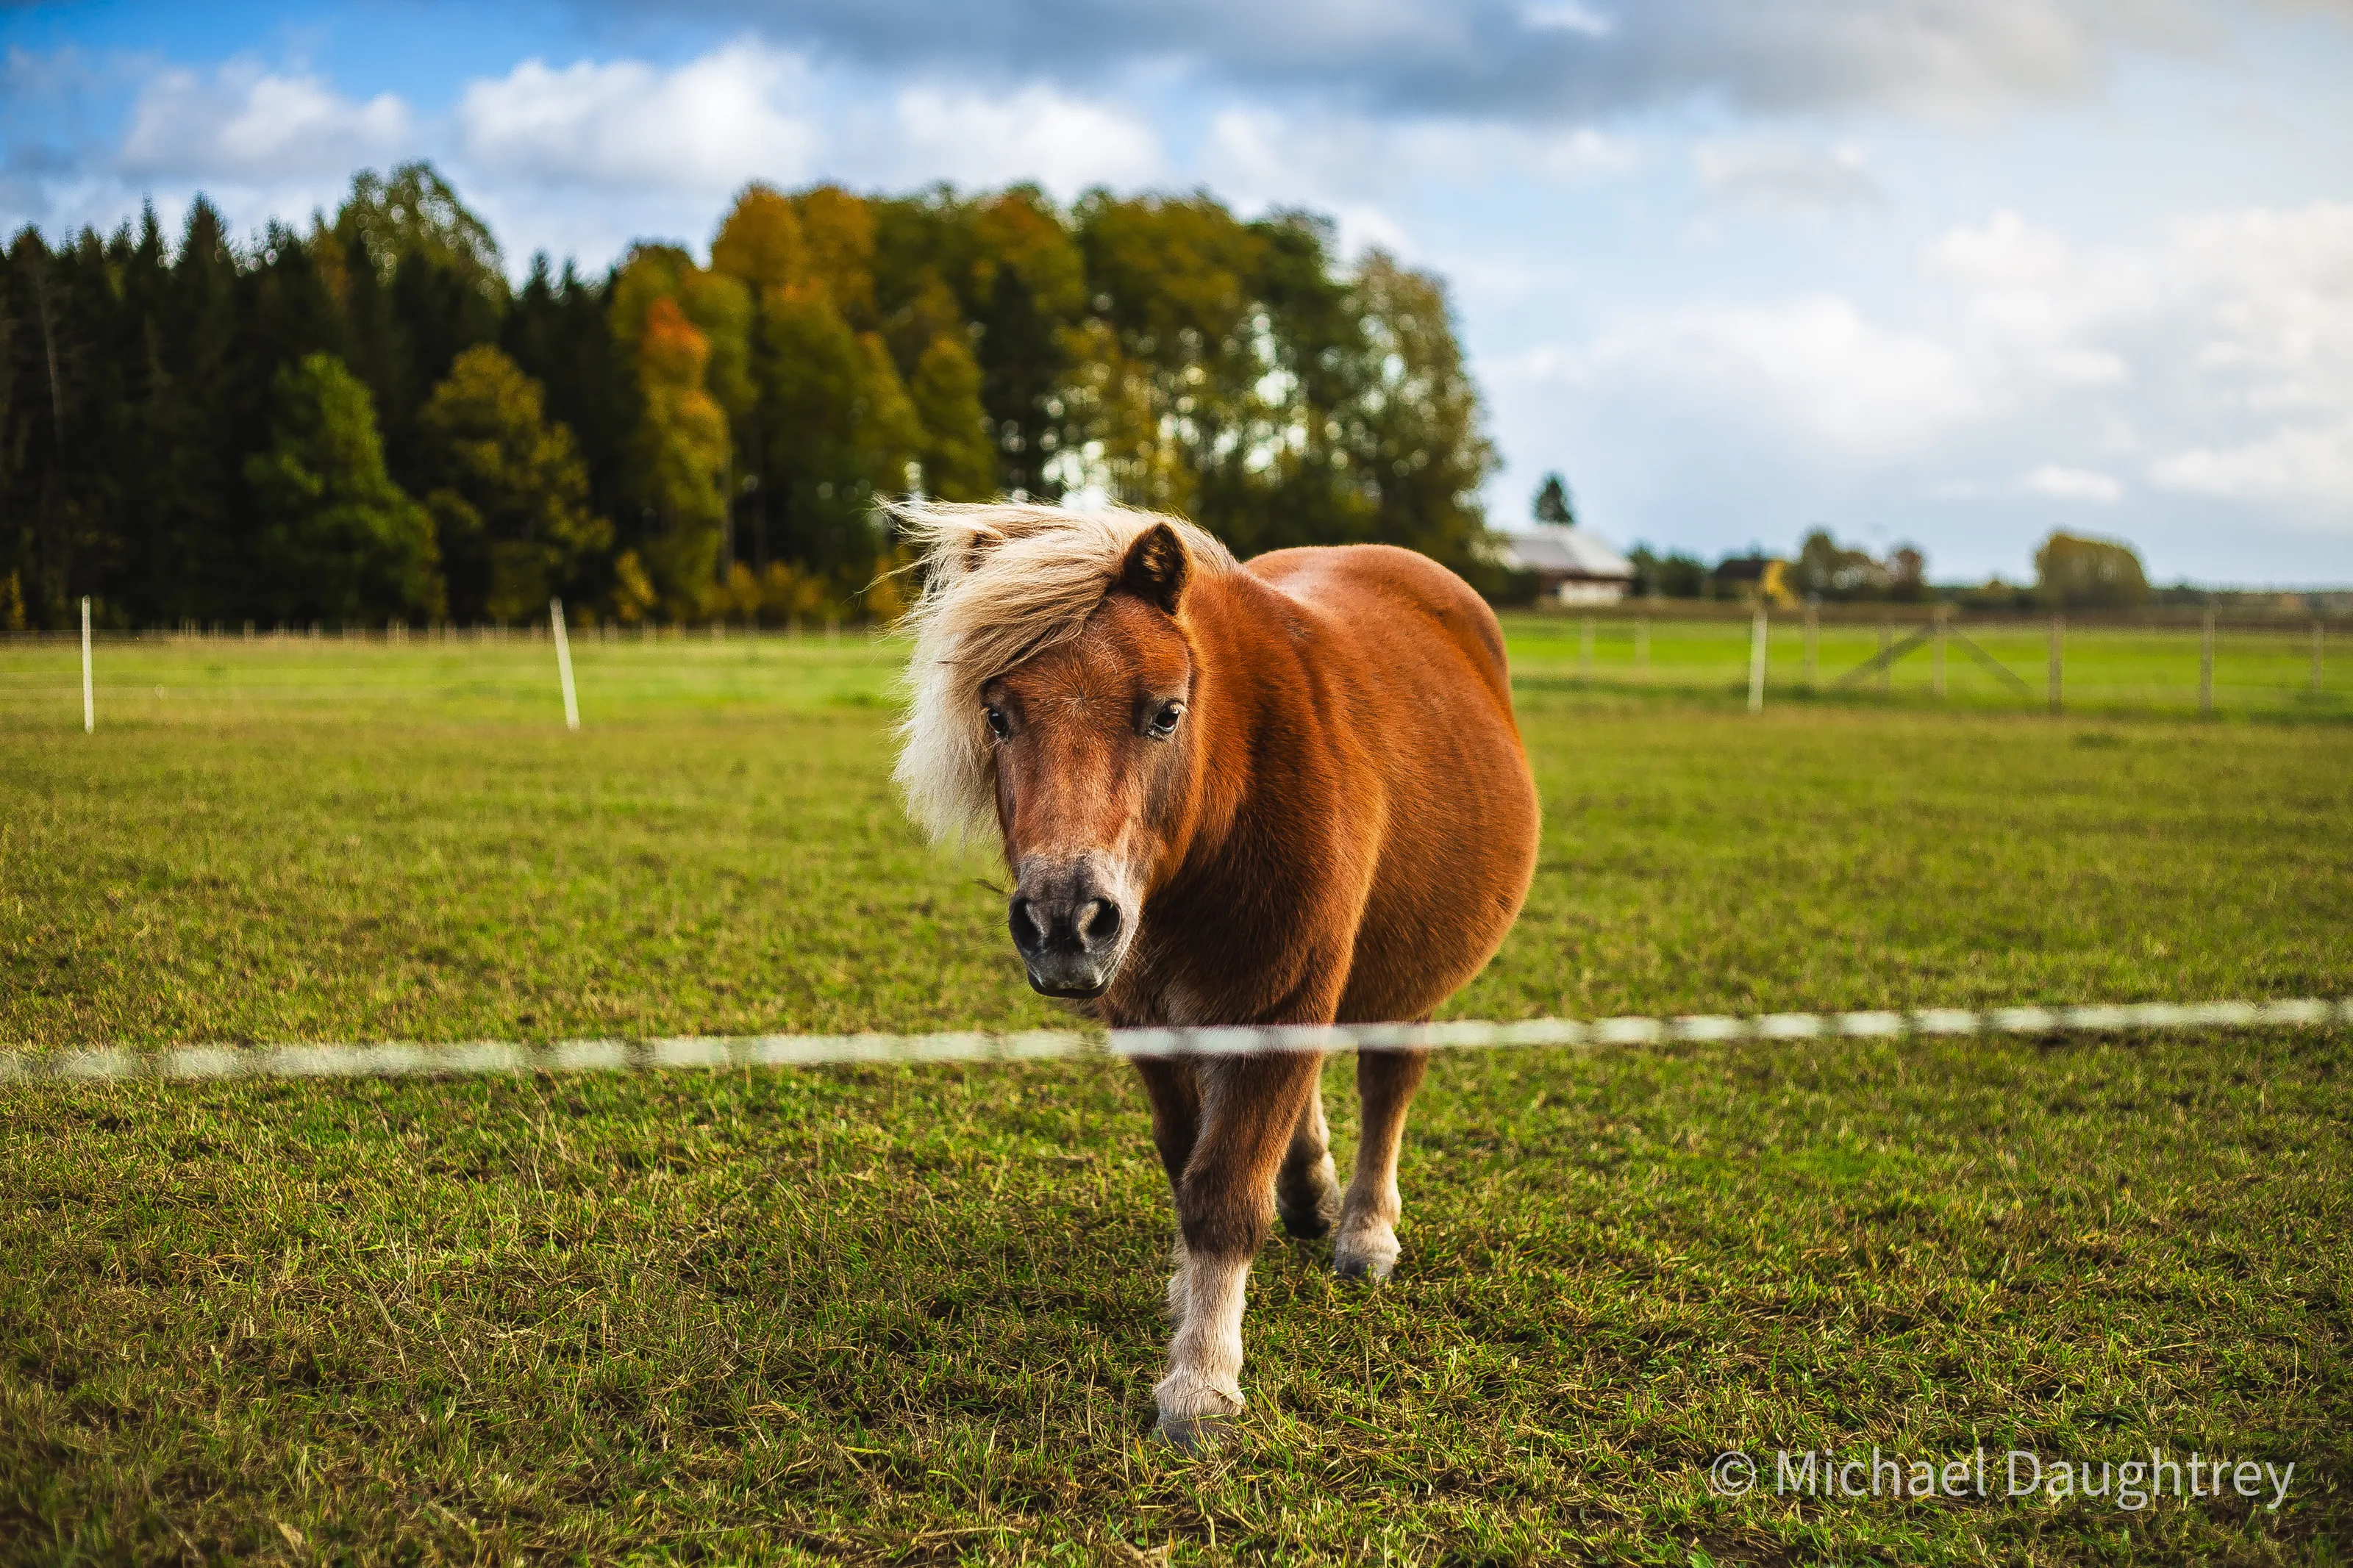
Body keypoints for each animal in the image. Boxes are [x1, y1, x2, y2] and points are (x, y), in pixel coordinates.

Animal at [893, 500, 1539, 1446]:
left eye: (1164, 714)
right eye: (999, 715)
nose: (1063, 923)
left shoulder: (1281, 1002)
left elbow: (1224, 1191)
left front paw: (1200, 1388)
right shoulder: (1152, 1020)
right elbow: (1187, 1160)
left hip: (1407, 977)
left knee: (1388, 1082)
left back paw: (1363, 1233)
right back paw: (1308, 1189)